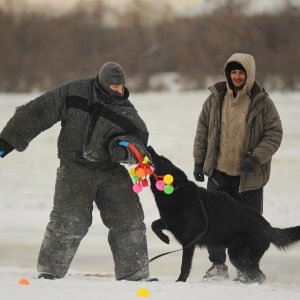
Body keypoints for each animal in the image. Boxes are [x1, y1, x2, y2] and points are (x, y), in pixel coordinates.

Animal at [148, 146, 300, 284]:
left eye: (161, 159)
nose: (149, 147)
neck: (175, 190)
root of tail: (269, 228)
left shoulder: (188, 242)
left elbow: (185, 265)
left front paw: (180, 281)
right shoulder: (169, 221)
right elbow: (154, 225)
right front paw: (164, 238)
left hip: (238, 254)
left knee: (260, 275)